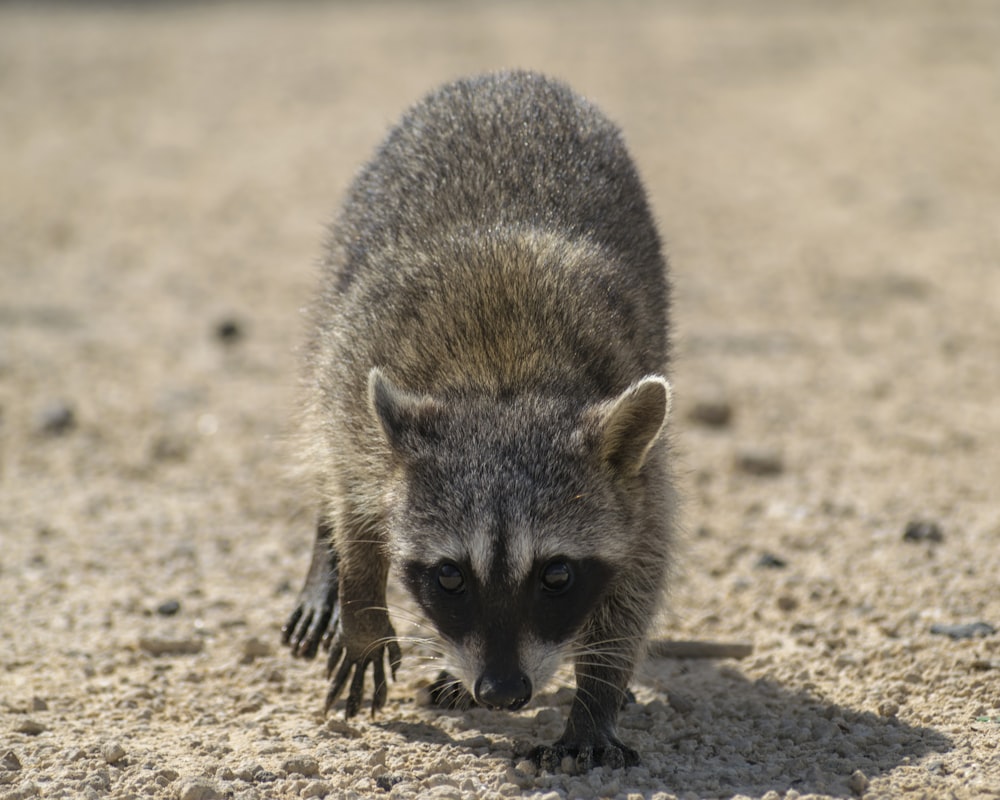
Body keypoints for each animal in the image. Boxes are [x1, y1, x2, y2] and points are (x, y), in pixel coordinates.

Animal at [282, 72, 672, 772]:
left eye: (557, 574)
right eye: (449, 576)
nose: (503, 692)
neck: (501, 383)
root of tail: (509, 77)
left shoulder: (642, 481)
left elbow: (639, 576)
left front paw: (598, 694)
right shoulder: (354, 390)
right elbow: (355, 501)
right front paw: (359, 600)